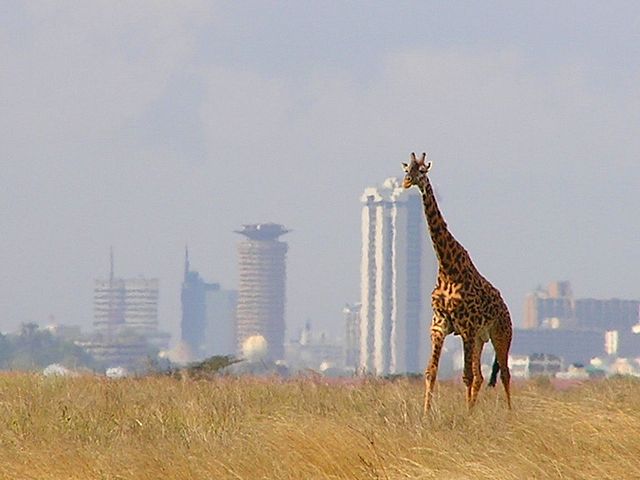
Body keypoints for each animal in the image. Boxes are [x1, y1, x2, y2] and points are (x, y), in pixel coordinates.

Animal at [402, 152, 513, 413]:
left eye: (423, 171)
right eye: (406, 169)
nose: (407, 182)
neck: (448, 268)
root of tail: (506, 308)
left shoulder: (466, 327)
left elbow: (466, 376)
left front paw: (466, 416)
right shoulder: (439, 325)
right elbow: (431, 372)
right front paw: (426, 413)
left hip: (501, 334)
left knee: (504, 373)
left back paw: (510, 414)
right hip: (481, 339)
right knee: (482, 376)